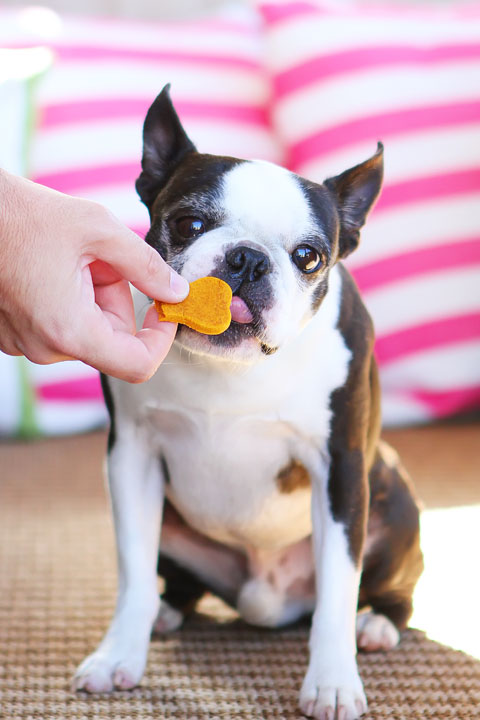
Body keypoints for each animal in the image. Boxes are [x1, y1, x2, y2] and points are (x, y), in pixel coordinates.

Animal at [72, 86, 424, 720]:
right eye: (187, 223)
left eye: (309, 257)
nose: (248, 258)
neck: (231, 368)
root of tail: (267, 601)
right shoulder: (132, 455)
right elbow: (133, 572)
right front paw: (117, 656)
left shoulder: (340, 469)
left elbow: (339, 589)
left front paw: (332, 682)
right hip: (174, 522)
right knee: (175, 581)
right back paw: (166, 612)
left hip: (394, 503)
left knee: (390, 589)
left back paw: (378, 625)